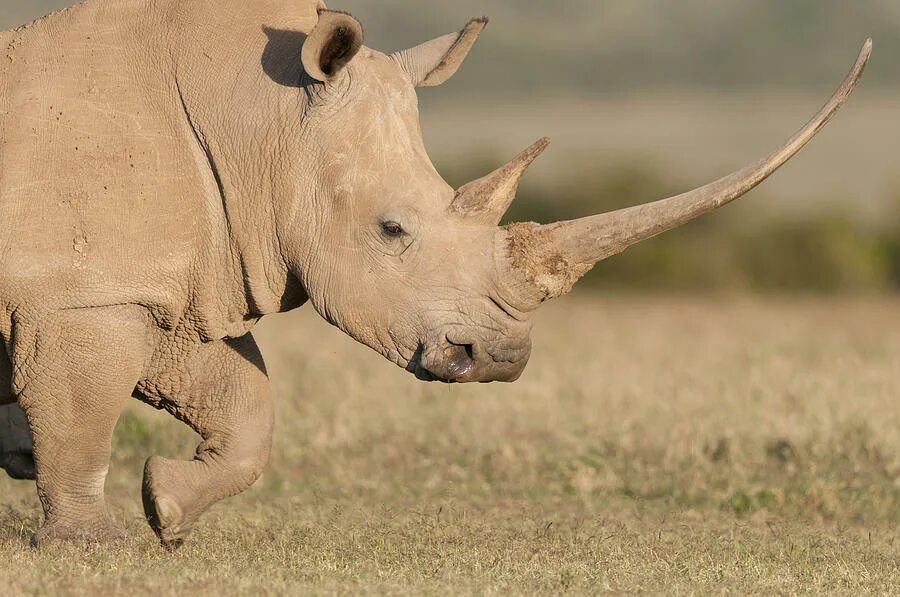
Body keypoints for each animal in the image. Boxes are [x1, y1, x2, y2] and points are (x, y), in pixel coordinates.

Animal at [0, 0, 872, 548]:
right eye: (392, 230)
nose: (499, 359)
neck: (258, 118)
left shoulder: (162, 282)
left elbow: (247, 404)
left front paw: (168, 507)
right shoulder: (86, 292)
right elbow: (85, 415)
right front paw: (91, 546)